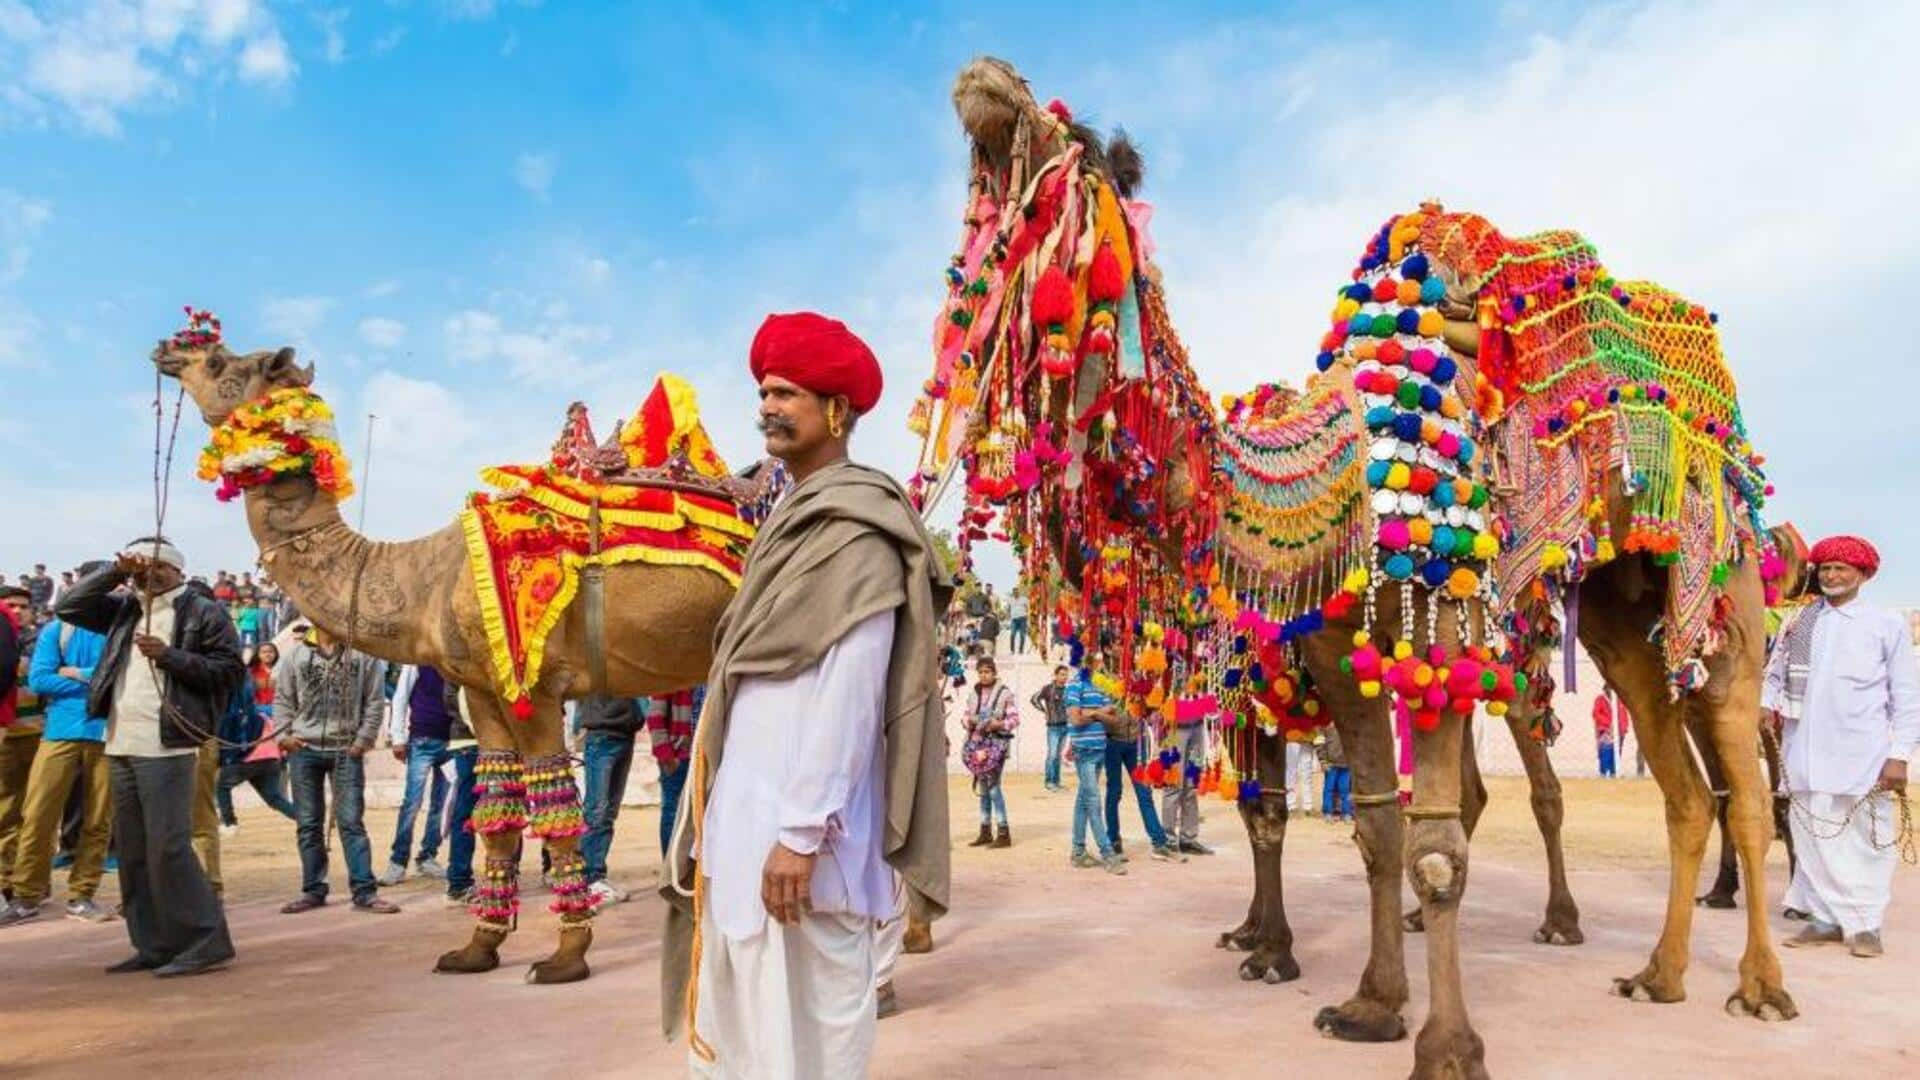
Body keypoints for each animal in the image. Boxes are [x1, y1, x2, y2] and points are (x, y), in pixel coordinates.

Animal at [155, 315, 771, 980]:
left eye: (221, 363)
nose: (169, 348)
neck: (426, 577)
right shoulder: (481, 689)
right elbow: (496, 812)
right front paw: (478, 947)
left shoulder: (536, 687)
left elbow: (556, 811)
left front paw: (565, 957)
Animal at [913, 61, 1797, 1076]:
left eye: (1080, 151)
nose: (985, 83)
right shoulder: (1333, 659)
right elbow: (1368, 824)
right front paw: (1367, 1002)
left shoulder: (1435, 630)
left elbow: (1432, 847)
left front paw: (1445, 1047)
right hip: (1618, 617)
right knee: (1683, 789)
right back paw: (1658, 974)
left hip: (1710, 583)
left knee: (1733, 787)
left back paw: (1746, 983)